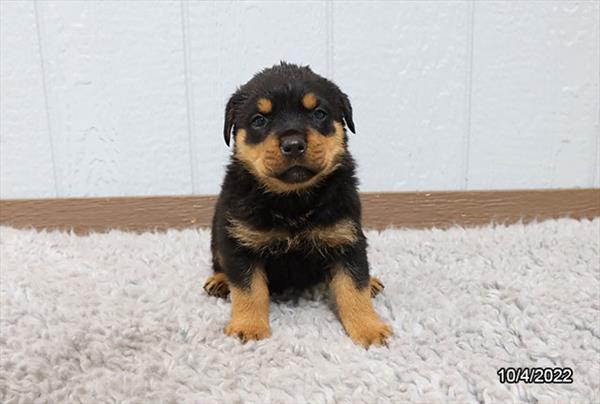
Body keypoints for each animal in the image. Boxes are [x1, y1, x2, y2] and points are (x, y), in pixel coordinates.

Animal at [205, 60, 394, 348]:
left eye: (318, 113)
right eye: (259, 120)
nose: (293, 144)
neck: (293, 201)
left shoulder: (346, 239)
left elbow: (354, 286)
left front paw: (369, 328)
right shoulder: (240, 243)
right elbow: (248, 290)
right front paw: (249, 327)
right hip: (218, 233)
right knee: (219, 261)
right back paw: (218, 281)